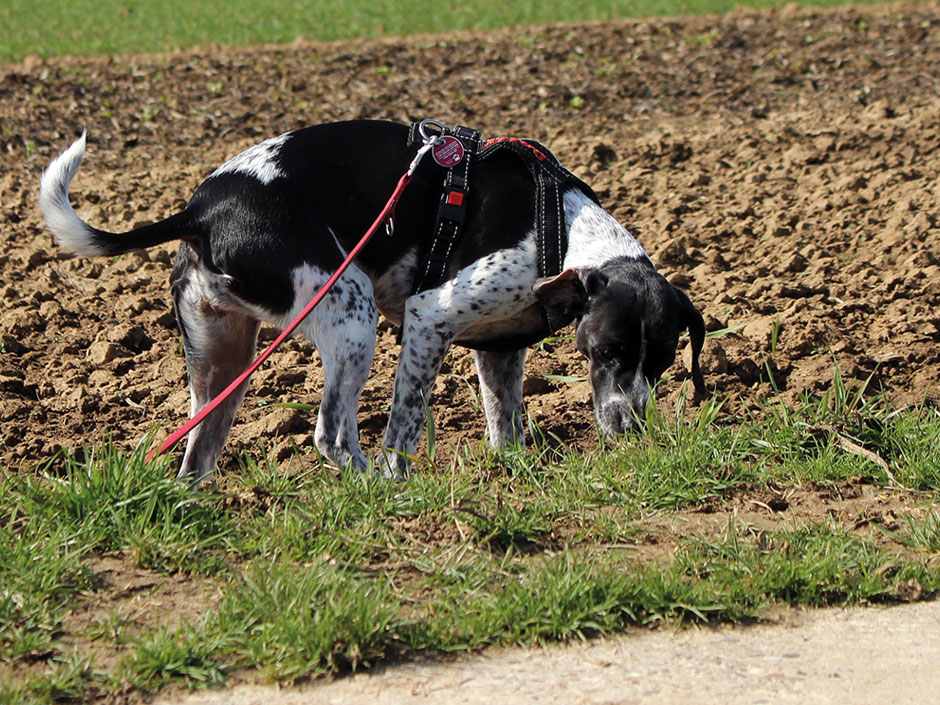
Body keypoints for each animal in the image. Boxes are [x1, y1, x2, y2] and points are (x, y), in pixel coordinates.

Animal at [38, 122, 704, 484]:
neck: (562, 232)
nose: (633, 427)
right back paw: (375, 488)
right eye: (609, 352)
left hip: (221, 362)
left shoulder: (500, 348)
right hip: (350, 314)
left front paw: (515, 473)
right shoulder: (430, 318)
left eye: (662, 365)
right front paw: (398, 475)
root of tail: (198, 211)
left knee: (197, 458)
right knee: (331, 435)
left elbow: (505, 423)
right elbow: (405, 423)